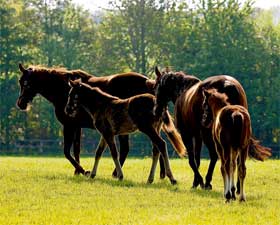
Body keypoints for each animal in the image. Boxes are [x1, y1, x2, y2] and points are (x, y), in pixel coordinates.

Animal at [15, 63, 164, 176]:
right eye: (20, 82)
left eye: (26, 83)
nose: (21, 104)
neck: (63, 89)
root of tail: (149, 83)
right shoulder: (77, 126)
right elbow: (76, 149)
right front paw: (77, 171)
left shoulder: (69, 125)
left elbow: (66, 151)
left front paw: (82, 170)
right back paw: (161, 174)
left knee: (135, 148)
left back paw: (117, 173)